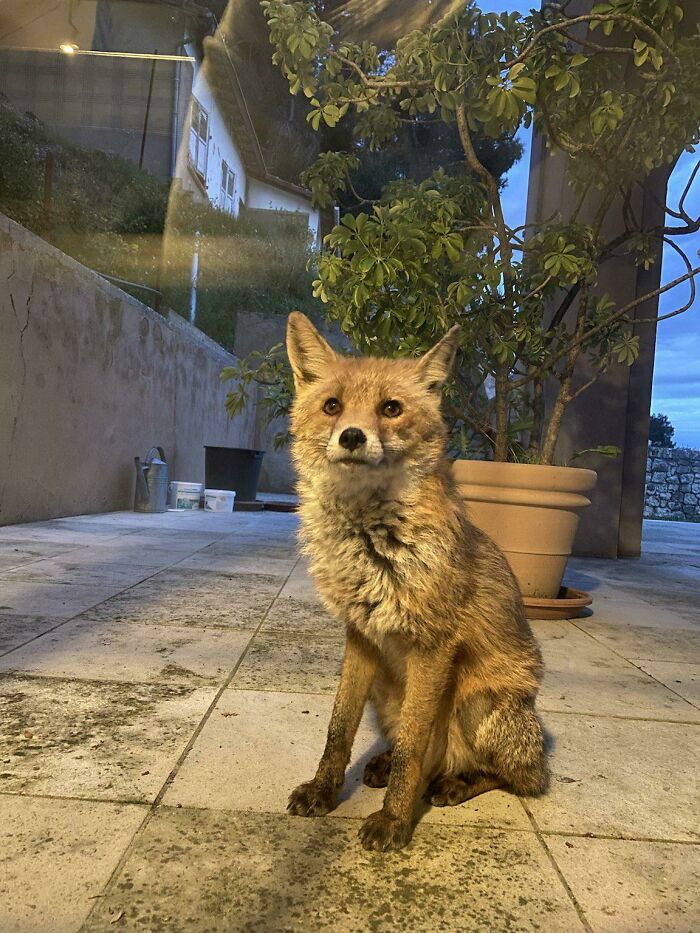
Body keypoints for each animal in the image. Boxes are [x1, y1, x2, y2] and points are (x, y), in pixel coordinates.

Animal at [285, 311, 548, 852]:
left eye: (391, 408)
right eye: (332, 406)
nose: (352, 437)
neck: (371, 546)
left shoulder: (434, 645)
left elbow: (412, 750)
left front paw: (394, 820)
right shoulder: (360, 635)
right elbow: (338, 730)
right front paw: (324, 791)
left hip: (477, 703)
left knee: (513, 777)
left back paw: (454, 783)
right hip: (386, 694)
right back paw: (388, 767)